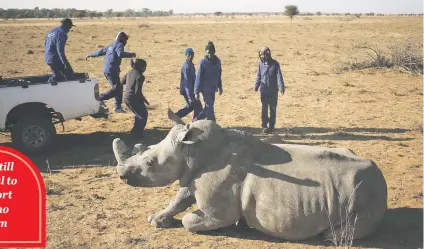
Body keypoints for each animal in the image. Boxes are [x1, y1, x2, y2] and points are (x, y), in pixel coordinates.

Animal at [113, 109, 388, 241]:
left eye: (149, 163)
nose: (123, 177)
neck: (193, 150)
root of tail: (381, 176)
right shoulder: (192, 177)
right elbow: (179, 198)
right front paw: (156, 219)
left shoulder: (216, 209)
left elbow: (191, 220)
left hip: (363, 189)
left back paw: (329, 237)